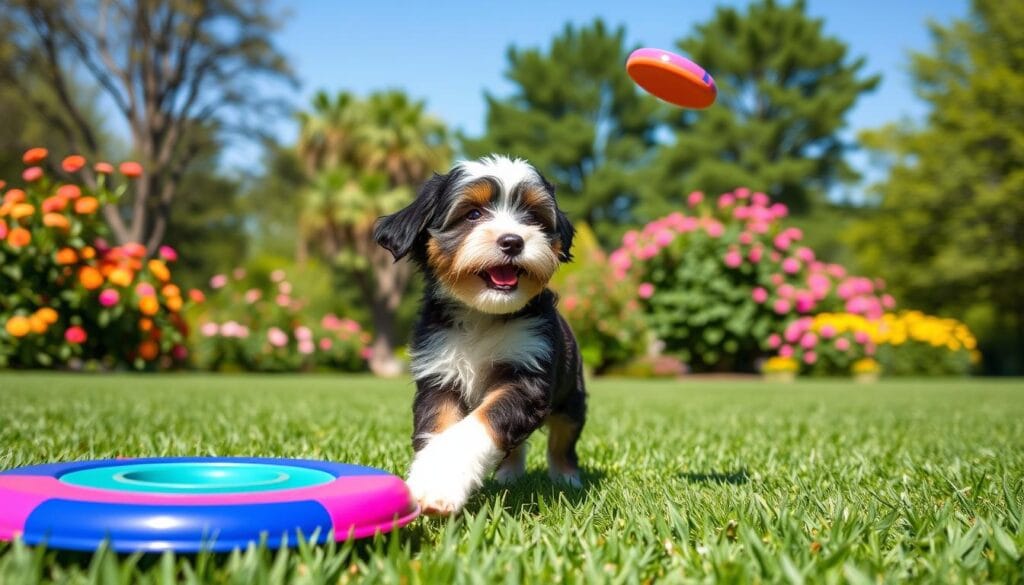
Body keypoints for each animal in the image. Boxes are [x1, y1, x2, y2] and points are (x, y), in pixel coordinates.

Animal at [374, 155, 585, 516]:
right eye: (472, 214)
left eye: (533, 217)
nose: (513, 241)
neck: (483, 315)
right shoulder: (440, 376)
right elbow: (441, 428)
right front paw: (432, 476)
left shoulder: (526, 374)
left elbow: (480, 424)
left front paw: (437, 485)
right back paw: (509, 475)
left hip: (572, 396)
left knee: (563, 440)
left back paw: (567, 478)